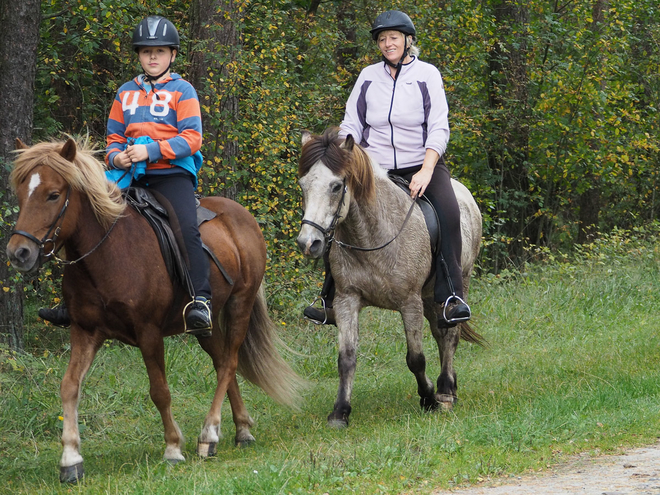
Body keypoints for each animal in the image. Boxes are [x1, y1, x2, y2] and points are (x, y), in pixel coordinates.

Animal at [6, 139, 304, 484]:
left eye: (53, 195)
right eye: (20, 193)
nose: (19, 253)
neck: (108, 254)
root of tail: (242, 216)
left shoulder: (149, 333)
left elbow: (159, 390)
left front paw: (173, 447)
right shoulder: (85, 331)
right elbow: (69, 387)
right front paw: (70, 459)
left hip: (240, 304)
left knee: (229, 363)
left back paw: (209, 434)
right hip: (205, 325)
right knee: (221, 364)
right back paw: (240, 429)